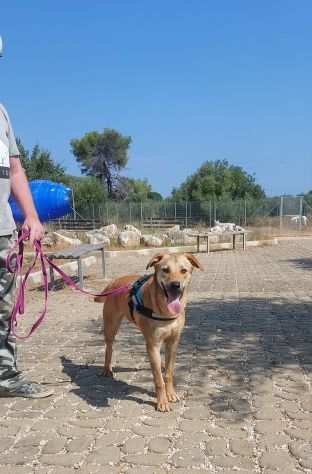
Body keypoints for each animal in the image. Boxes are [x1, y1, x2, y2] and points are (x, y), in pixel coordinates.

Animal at [94, 252, 202, 412]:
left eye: (184, 271)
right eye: (165, 270)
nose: (175, 285)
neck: (165, 311)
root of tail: (114, 282)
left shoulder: (173, 342)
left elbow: (169, 373)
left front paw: (171, 394)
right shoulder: (153, 344)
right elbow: (158, 379)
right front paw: (162, 402)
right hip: (111, 326)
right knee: (109, 347)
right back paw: (107, 368)